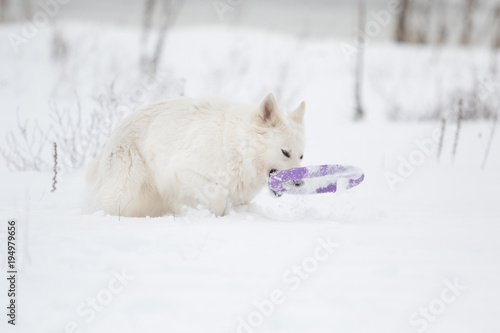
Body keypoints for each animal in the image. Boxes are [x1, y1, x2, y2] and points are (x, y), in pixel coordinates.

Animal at [85, 92, 304, 217]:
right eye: (285, 152)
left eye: (301, 156)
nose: (300, 183)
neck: (237, 148)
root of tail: (113, 134)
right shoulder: (183, 172)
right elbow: (217, 197)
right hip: (123, 192)